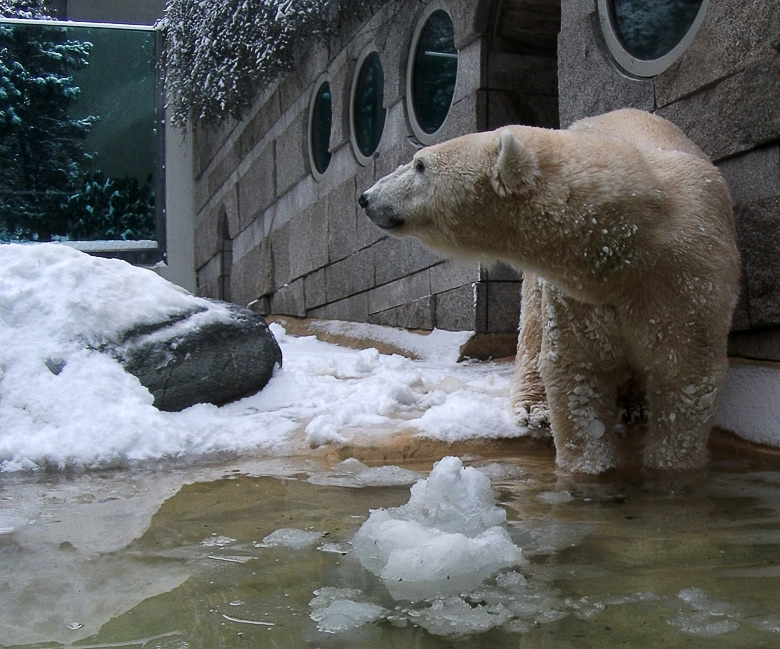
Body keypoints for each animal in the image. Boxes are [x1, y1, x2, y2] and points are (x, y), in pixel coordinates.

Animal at [356, 109, 740, 476]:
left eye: (420, 164)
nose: (365, 198)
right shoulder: (579, 295)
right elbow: (576, 370)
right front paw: (587, 471)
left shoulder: (687, 279)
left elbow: (686, 374)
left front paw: (671, 470)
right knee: (532, 327)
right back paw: (534, 408)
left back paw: (634, 405)